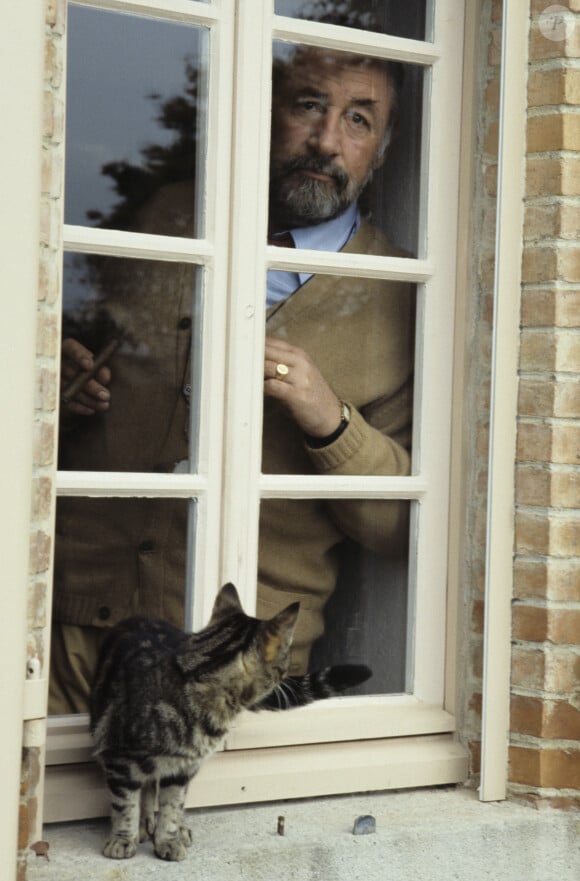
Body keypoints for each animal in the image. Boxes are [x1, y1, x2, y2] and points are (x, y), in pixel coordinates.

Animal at [90, 580, 372, 864]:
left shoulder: (183, 769)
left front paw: (168, 838)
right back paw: (143, 823)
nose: (286, 674)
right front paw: (123, 837)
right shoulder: (118, 757)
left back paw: (175, 828)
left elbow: (172, 805)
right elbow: (125, 803)